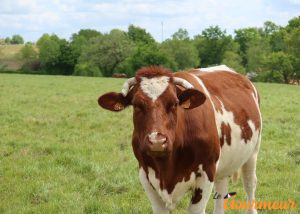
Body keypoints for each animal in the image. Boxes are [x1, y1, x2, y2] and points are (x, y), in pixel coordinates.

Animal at [98, 65, 260, 214]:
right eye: (137, 105)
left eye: (174, 103)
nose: (157, 141)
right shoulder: (145, 174)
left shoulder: (207, 171)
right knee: (221, 191)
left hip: (252, 153)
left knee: (250, 184)